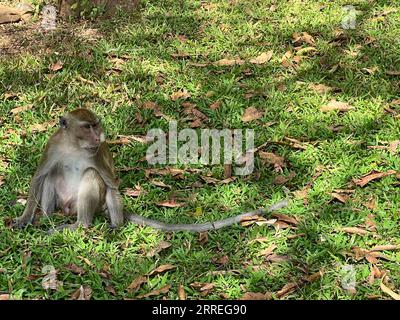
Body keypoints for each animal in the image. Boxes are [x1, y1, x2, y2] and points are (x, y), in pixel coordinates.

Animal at [11, 109, 288, 232]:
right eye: (87, 126)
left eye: (95, 125)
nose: (99, 135)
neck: (74, 146)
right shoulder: (53, 146)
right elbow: (39, 177)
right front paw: (24, 219)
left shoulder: (96, 153)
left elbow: (109, 183)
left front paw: (117, 224)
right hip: (64, 203)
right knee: (52, 175)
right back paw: (46, 217)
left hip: (90, 204)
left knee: (92, 177)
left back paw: (80, 224)